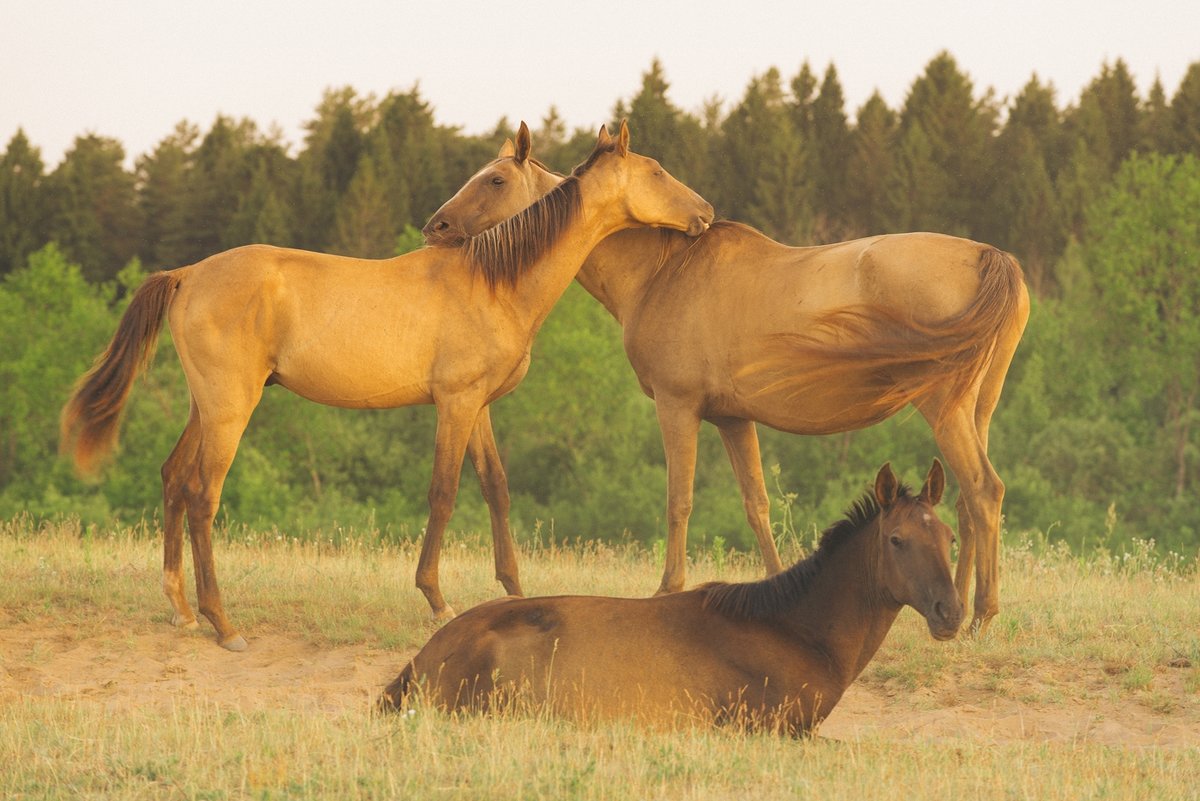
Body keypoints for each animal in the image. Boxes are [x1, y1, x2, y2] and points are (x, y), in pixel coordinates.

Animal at [60, 125, 710, 652]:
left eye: (495, 178)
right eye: (656, 170)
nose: (703, 210)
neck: (493, 281)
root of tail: (187, 274)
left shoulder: (478, 408)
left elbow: (496, 489)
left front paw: (513, 589)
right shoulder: (453, 405)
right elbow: (444, 493)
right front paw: (436, 598)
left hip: (206, 407)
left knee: (173, 478)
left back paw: (180, 610)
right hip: (229, 410)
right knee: (201, 496)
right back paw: (223, 624)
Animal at [424, 123, 1032, 633]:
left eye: (496, 179)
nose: (437, 226)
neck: (663, 272)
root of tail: (990, 256)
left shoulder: (678, 408)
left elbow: (680, 500)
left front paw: (667, 590)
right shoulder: (734, 420)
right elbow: (758, 506)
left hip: (945, 410)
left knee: (984, 491)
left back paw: (980, 615)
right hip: (976, 410)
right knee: (966, 504)